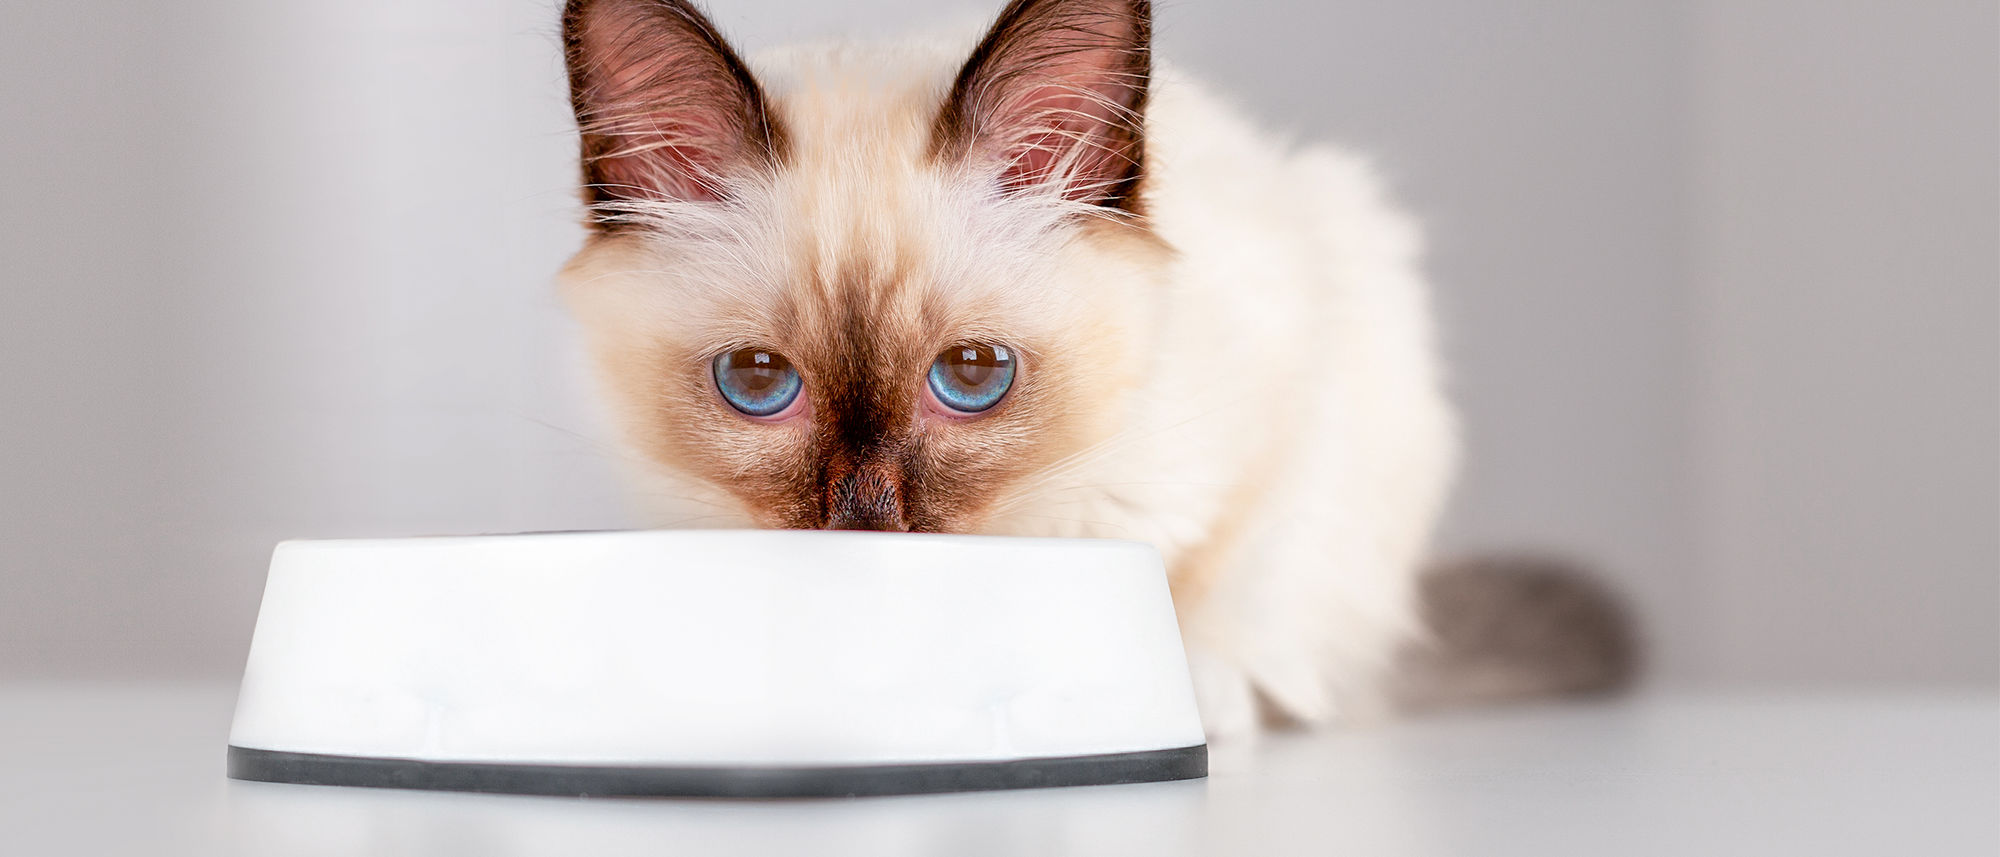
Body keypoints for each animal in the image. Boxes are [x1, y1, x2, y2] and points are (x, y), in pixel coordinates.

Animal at [556, 0, 1632, 736]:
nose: (865, 516)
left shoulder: (1301, 375)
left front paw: (1182, 698)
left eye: (974, 374)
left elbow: (1231, 578)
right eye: (757, 382)